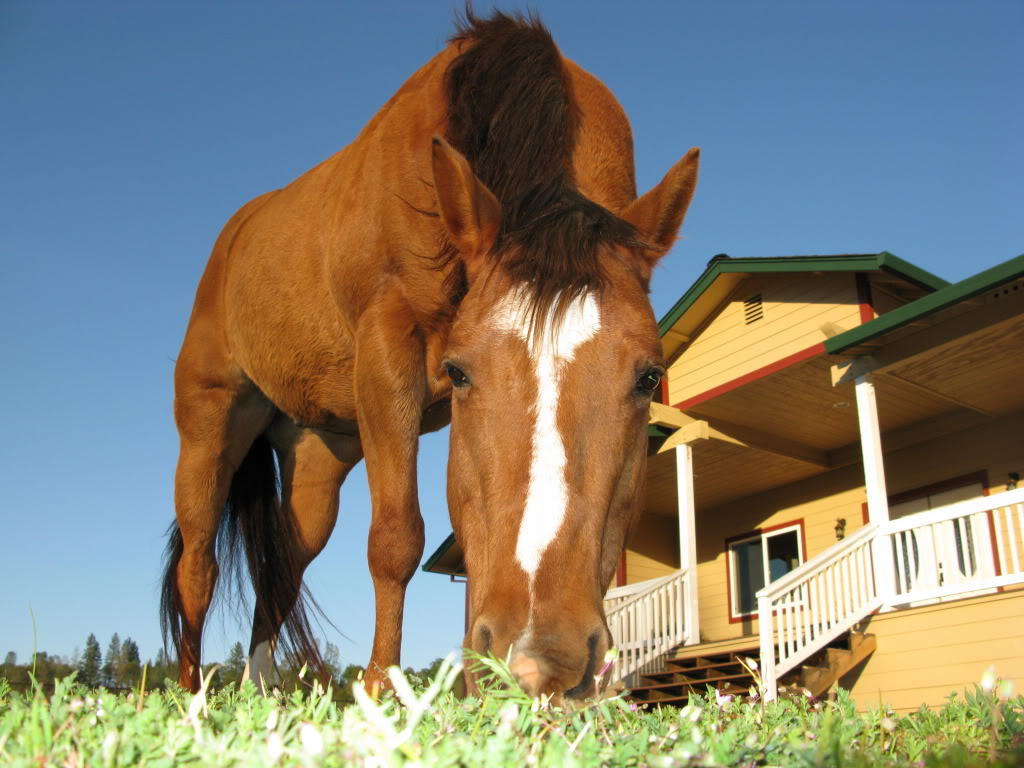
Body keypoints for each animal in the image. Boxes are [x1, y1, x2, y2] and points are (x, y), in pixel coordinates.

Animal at [163, 9, 700, 700]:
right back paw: (191, 698)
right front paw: (380, 691)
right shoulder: (387, 353)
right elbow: (396, 538)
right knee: (198, 564)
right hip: (211, 429)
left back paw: (260, 693)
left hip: (318, 460)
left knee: (278, 571)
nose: (544, 658)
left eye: (649, 377)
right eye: (460, 372)